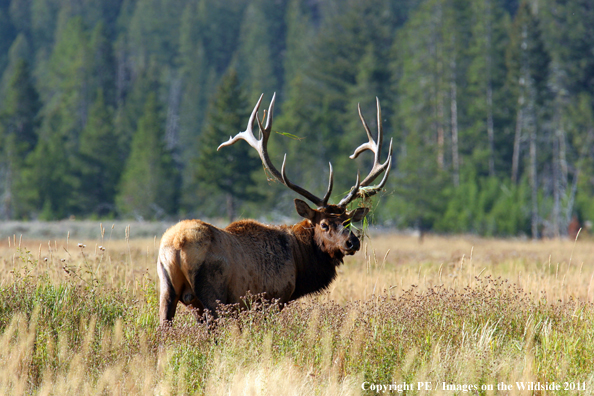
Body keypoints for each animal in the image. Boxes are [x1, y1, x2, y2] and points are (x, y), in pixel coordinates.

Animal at [156, 93, 394, 324]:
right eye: (324, 224)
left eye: (348, 221)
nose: (352, 242)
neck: (299, 263)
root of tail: (177, 245)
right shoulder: (271, 298)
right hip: (213, 294)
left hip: (167, 290)